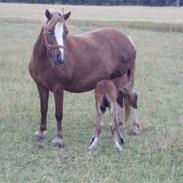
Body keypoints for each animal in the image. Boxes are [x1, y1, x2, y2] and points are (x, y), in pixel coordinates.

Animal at [29, 9, 139, 148]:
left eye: (66, 32)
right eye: (49, 31)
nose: (60, 58)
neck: (44, 61)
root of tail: (127, 39)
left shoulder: (58, 88)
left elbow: (58, 113)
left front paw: (59, 138)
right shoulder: (41, 86)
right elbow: (43, 109)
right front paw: (41, 132)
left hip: (128, 80)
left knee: (132, 97)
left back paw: (135, 128)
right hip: (116, 81)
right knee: (119, 98)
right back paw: (118, 122)